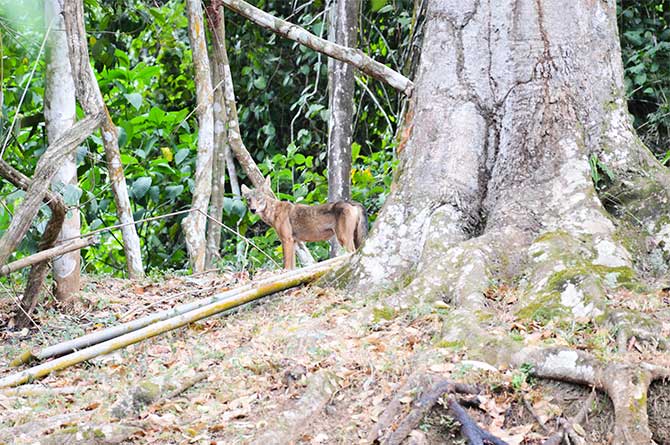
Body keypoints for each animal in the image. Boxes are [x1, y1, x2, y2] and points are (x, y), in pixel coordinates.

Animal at [242, 176, 370, 268]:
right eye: (249, 200)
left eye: (259, 199)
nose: (253, 210)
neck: (273, 212)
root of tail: (352, 202)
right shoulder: (293, 242)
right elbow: (292, 267)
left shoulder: (287, 240)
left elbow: (286, 265)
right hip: (355, 238)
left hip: (343, 239)